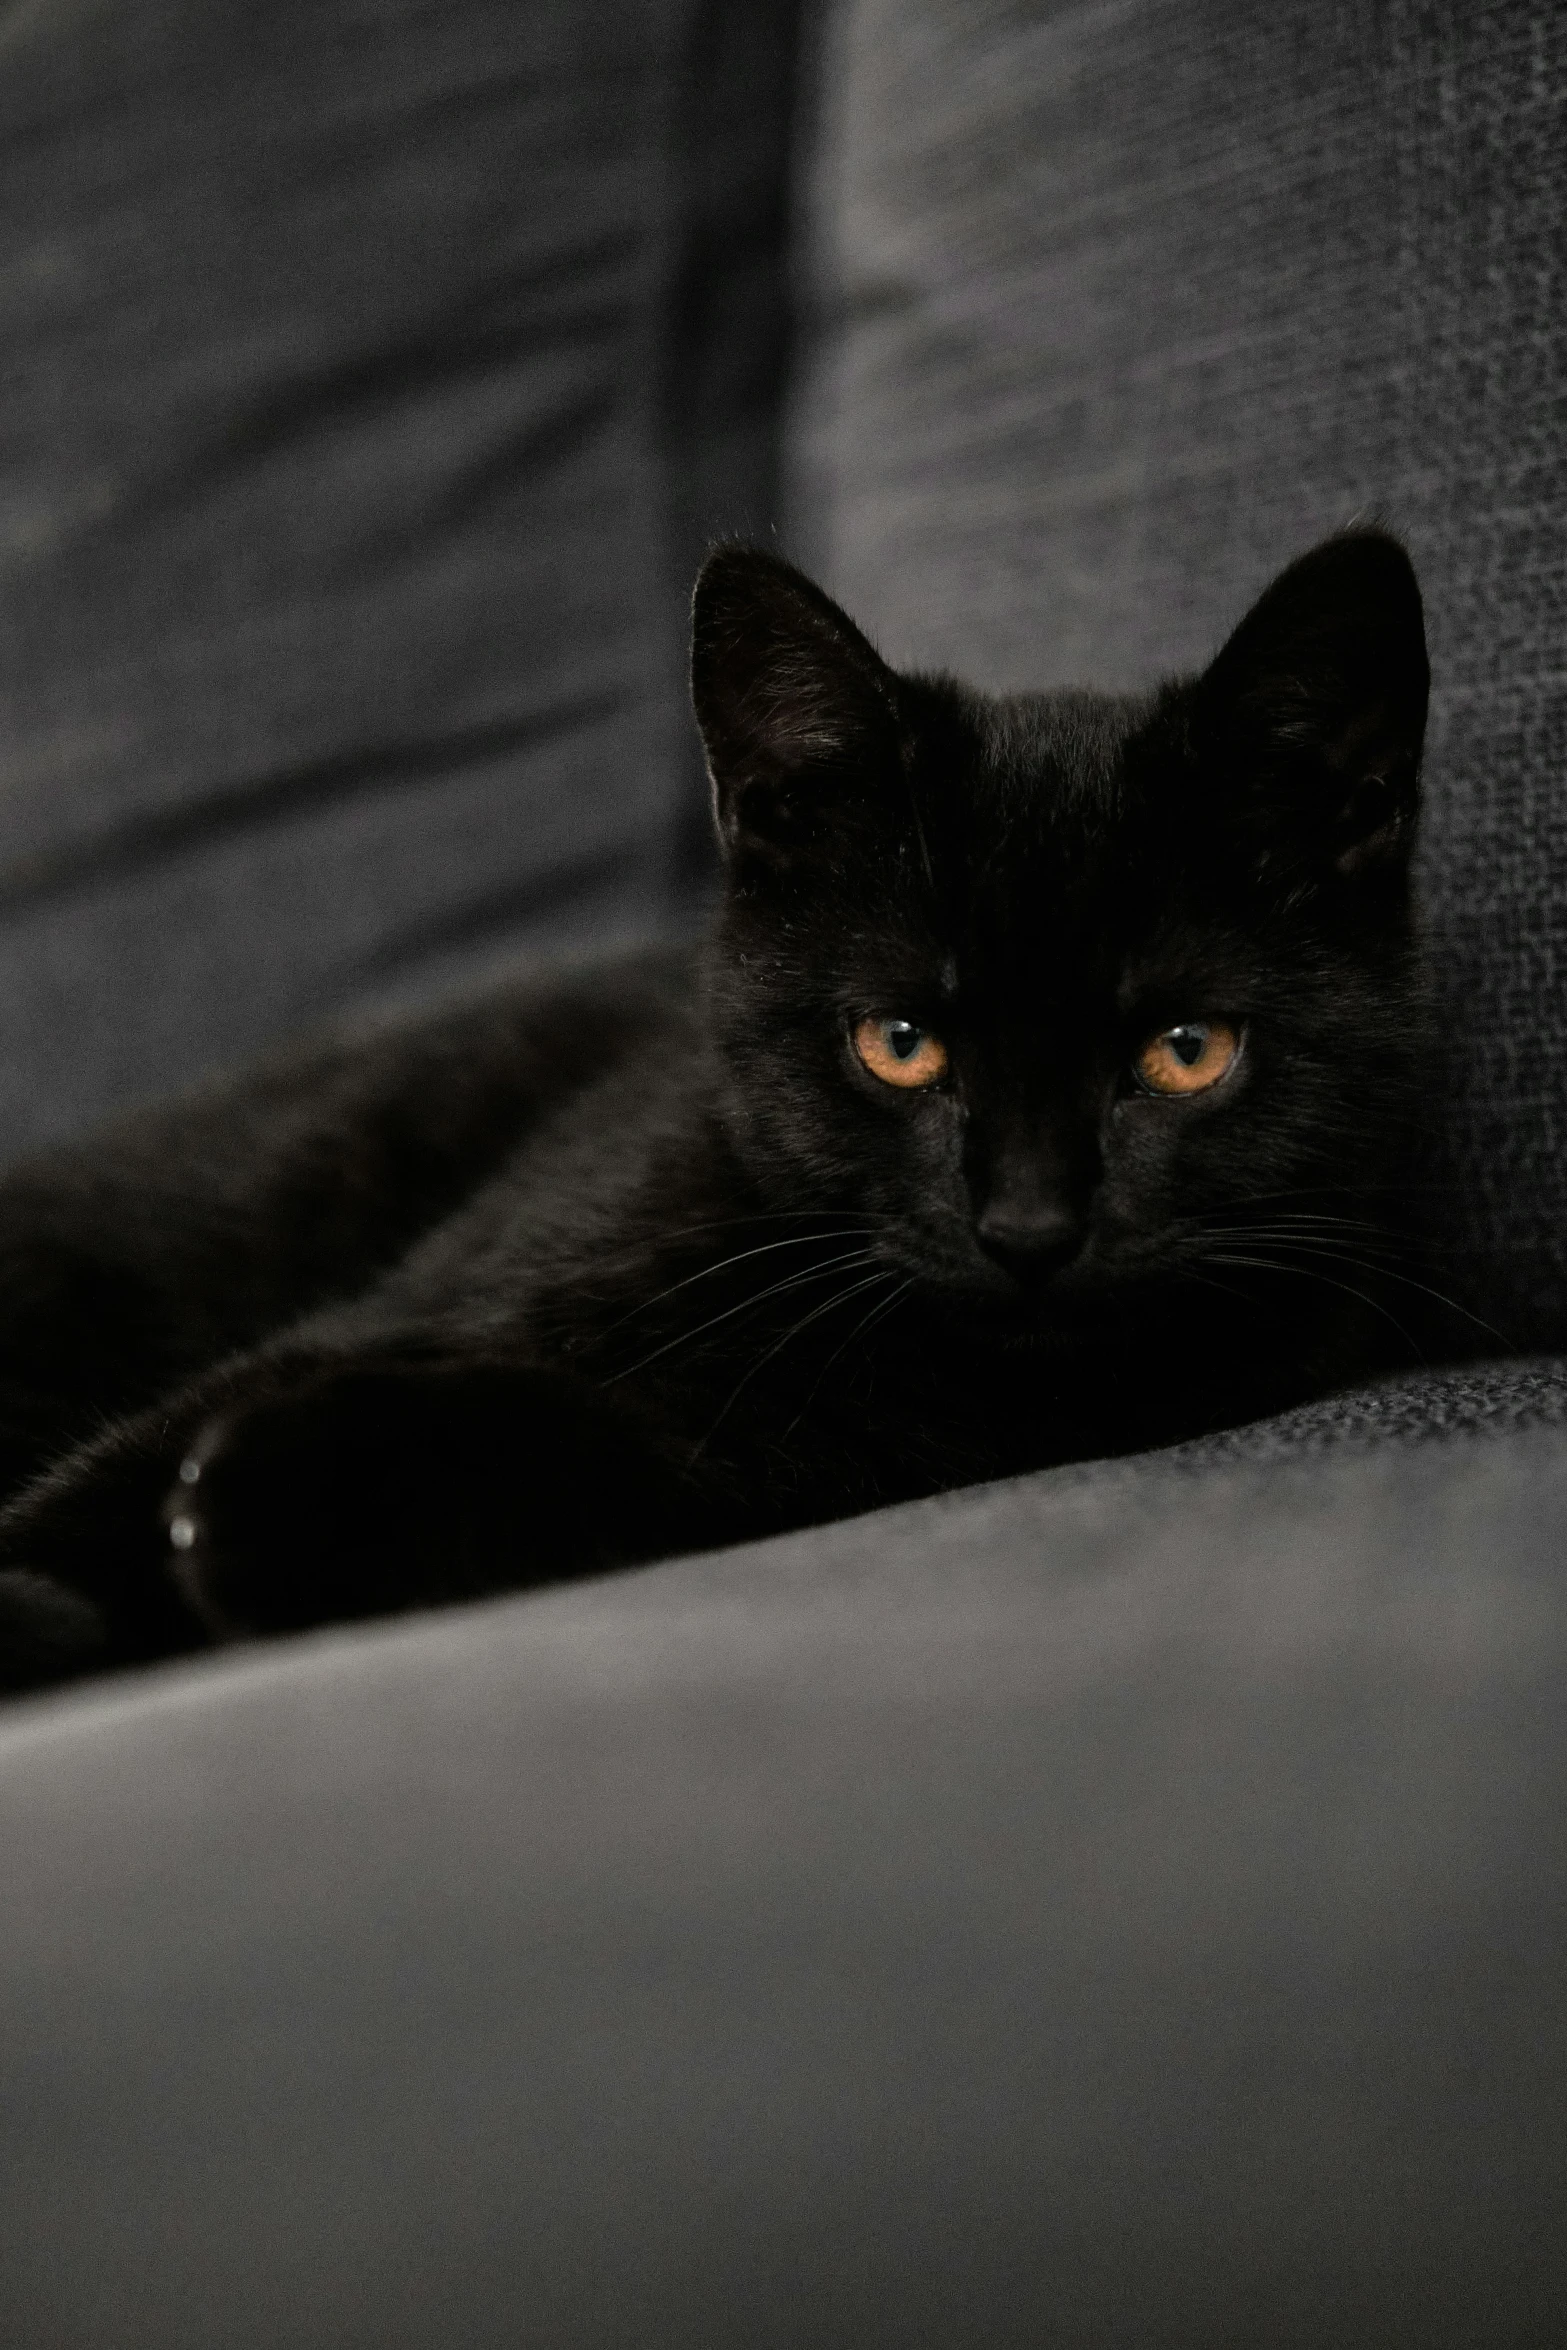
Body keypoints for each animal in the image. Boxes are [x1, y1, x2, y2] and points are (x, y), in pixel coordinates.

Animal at [0, 531, 1437, 1691]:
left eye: (1187, 1052)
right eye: (898, 1044)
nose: (1027, 1226)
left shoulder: (800, 1454)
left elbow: (609, 1451)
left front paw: (292, 1496)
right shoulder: (435, 1285)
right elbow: (138, 1450)